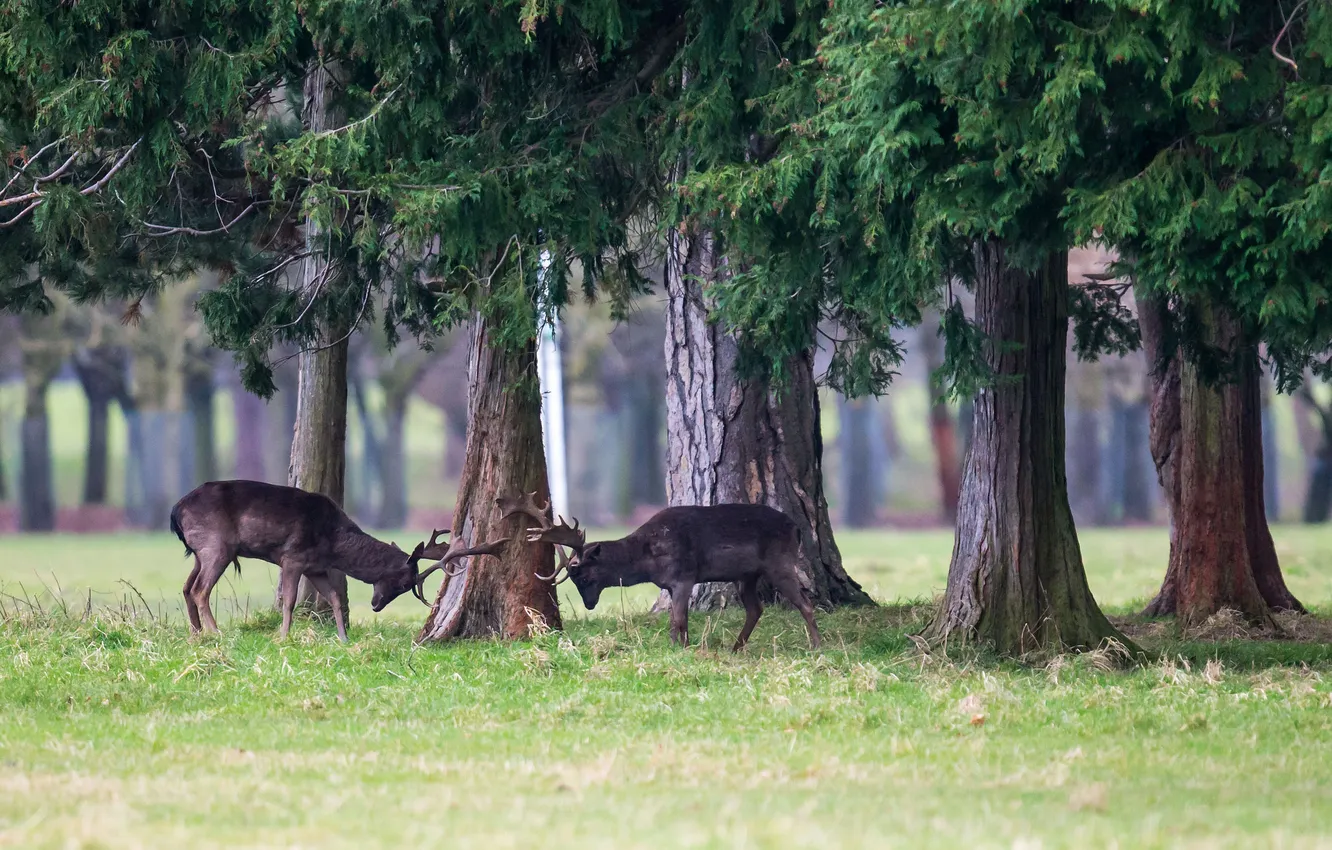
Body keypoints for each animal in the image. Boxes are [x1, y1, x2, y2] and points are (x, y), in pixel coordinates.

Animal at [170, 480, 508, 642]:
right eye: (403, 583)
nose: (376, 605)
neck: (333, 542)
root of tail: (175, 510)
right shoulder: (292, 557)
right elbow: (289, 601)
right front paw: (283, 637)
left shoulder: (316, 567)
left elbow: (333, 597)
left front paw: (343, 637)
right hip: (216, 545)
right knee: (200, 589)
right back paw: (216, 633)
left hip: (201, 551)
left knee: (186, 587)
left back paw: (196, 634)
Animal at [497, 493, 821, 651]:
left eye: (585, 576)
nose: (589, 604)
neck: (647, 559)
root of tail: (796, 528)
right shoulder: (670, 583)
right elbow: (678, 619)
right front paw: (681, 646)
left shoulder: (683, 575)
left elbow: (678, 618)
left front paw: (680, 649)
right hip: (747, 575)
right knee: (756, 608)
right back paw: (736, 648)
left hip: (779, 563)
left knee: (805, 603)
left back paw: (816, 646)